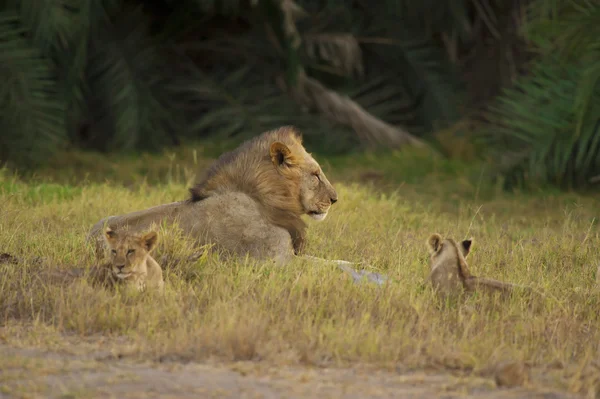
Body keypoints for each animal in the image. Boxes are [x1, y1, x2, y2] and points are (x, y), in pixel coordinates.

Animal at [85, 126, 338, 268]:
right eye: (316, 175)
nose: (335, 199)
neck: (264, 200)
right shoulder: (276, 260)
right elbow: (334, 268)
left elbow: (339, 262)